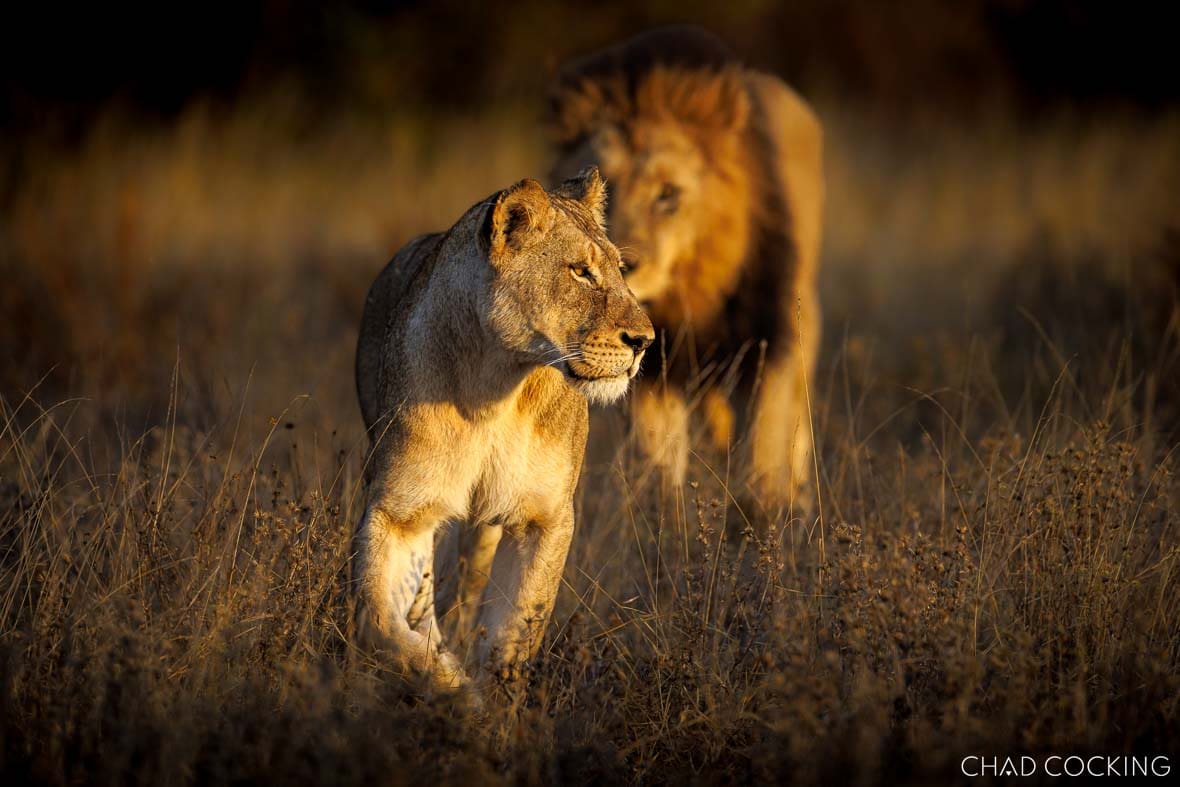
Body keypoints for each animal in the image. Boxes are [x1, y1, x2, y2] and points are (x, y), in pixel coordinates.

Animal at [353, 167, 653, 695]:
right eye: (580, 271)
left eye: (620, 270)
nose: (645, 341)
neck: (494, 390)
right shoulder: (400, 510)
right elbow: (382, 622)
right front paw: (451, 682)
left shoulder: (545, 516)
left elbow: (515, 630)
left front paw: (496, 696)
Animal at [548, 27, 824, 510]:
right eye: (604, 191)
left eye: (667, 194)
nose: (624, 263)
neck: (689, 294)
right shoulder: (649, 369)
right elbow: (655, 462)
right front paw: (668, 523)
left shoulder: (769, 340)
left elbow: (763, 446)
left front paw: (764, 518)